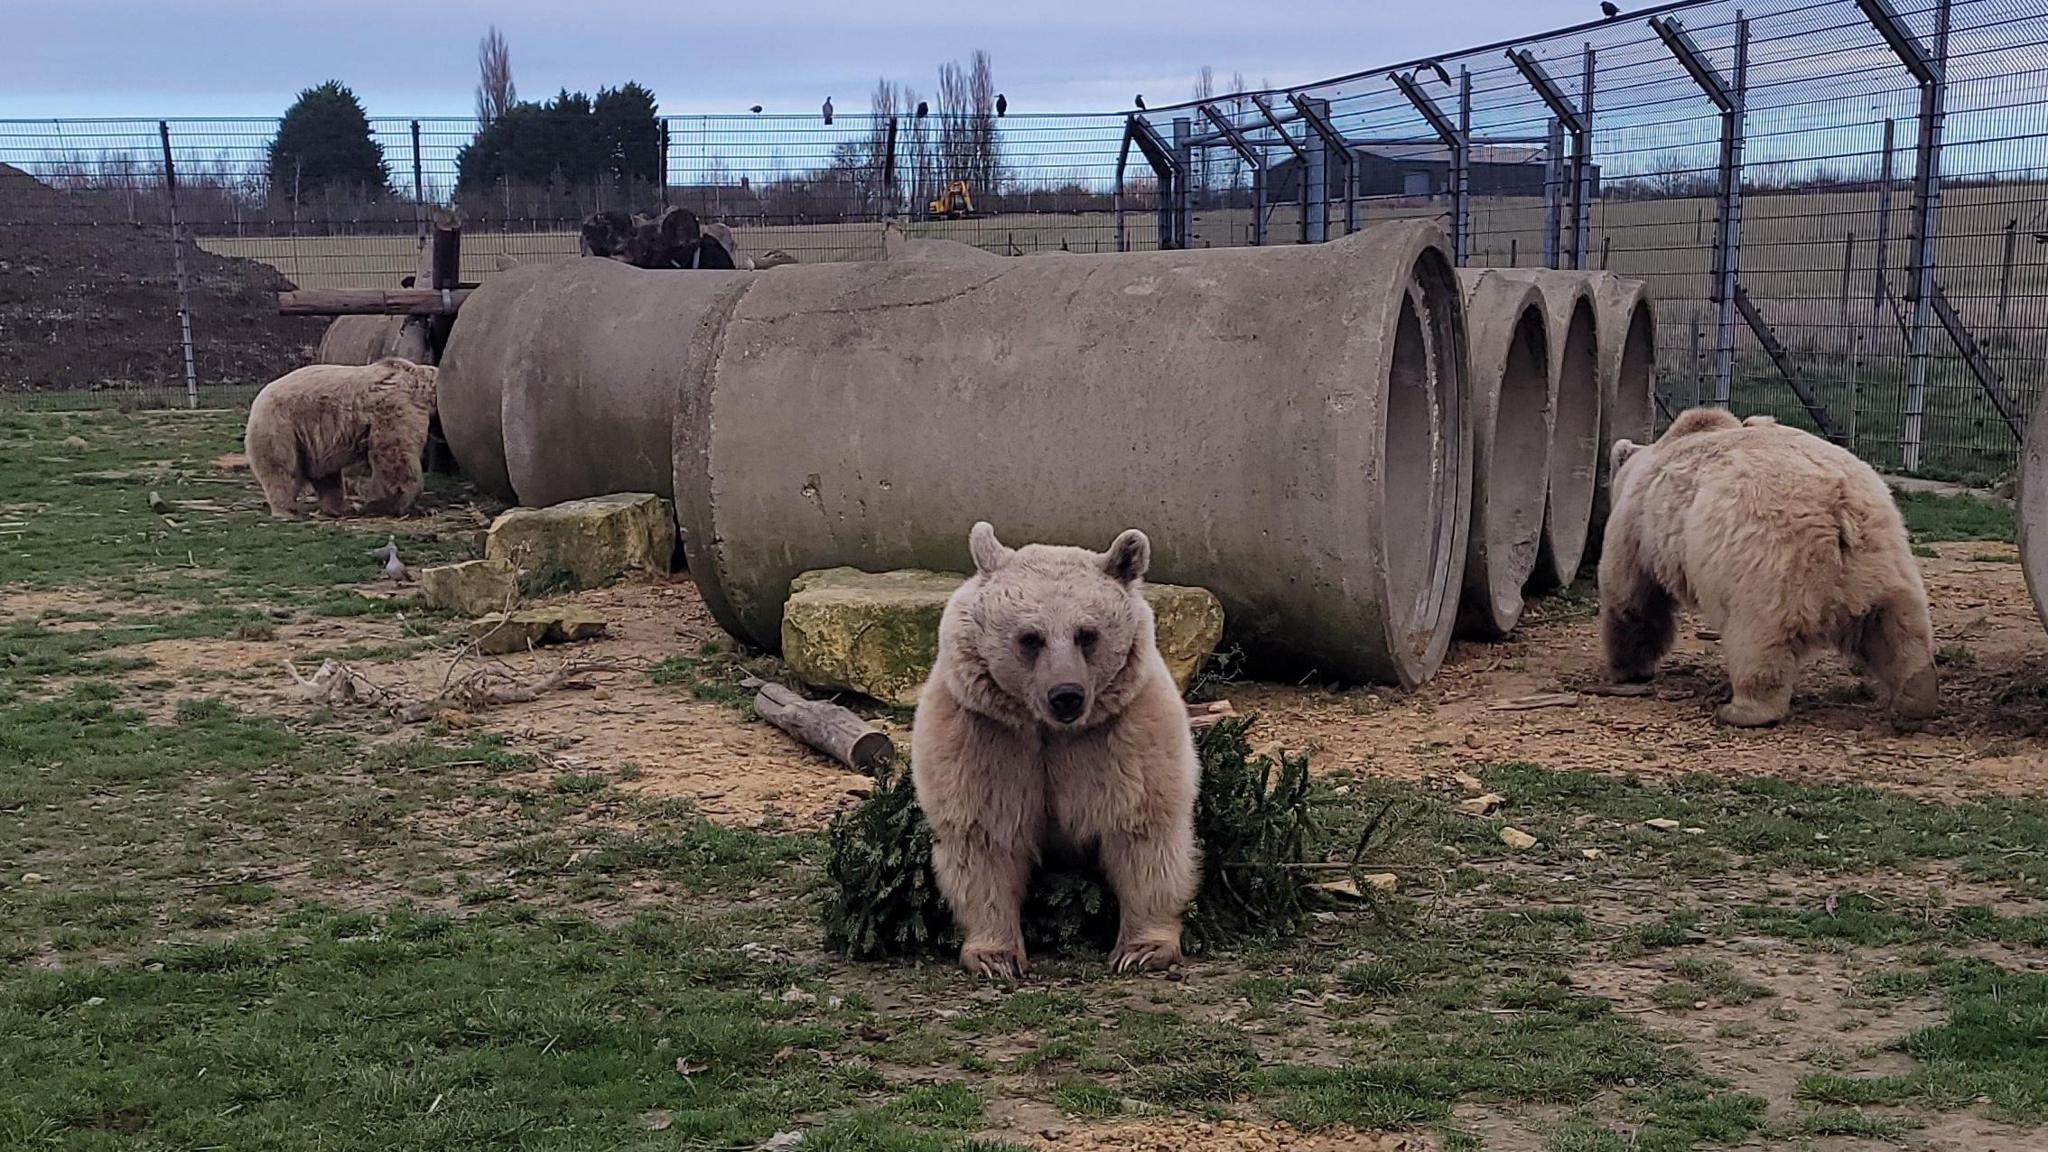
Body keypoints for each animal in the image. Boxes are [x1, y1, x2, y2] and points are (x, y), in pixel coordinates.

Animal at [247, 356, 440, 518]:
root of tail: (257, 402)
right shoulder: (398, 405)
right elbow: (395, 452)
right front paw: (410, 506)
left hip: (312, 441)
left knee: (326, 475)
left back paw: (342, 507)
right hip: (281, 427)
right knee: (282, 470)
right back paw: (287, 510)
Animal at [913, 520, 1196, 975]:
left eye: (1087, 634)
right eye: (1031, 638)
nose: (1067, 695)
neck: (1048, 731)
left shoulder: (1122, 735)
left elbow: (1142, 833)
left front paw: (1142, 949)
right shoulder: (985, 738)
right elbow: (985, 837)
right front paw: (995, 956)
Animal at [1597, 405, 1933, 725]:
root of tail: (1839, 504)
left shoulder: (1637, 524)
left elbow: (1630, 596)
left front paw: (1628, 669)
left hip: (1766, 556)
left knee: (1757, 638)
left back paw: (1741, 710)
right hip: (1881, 553)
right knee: (1897, 625)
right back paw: (1915, 695)